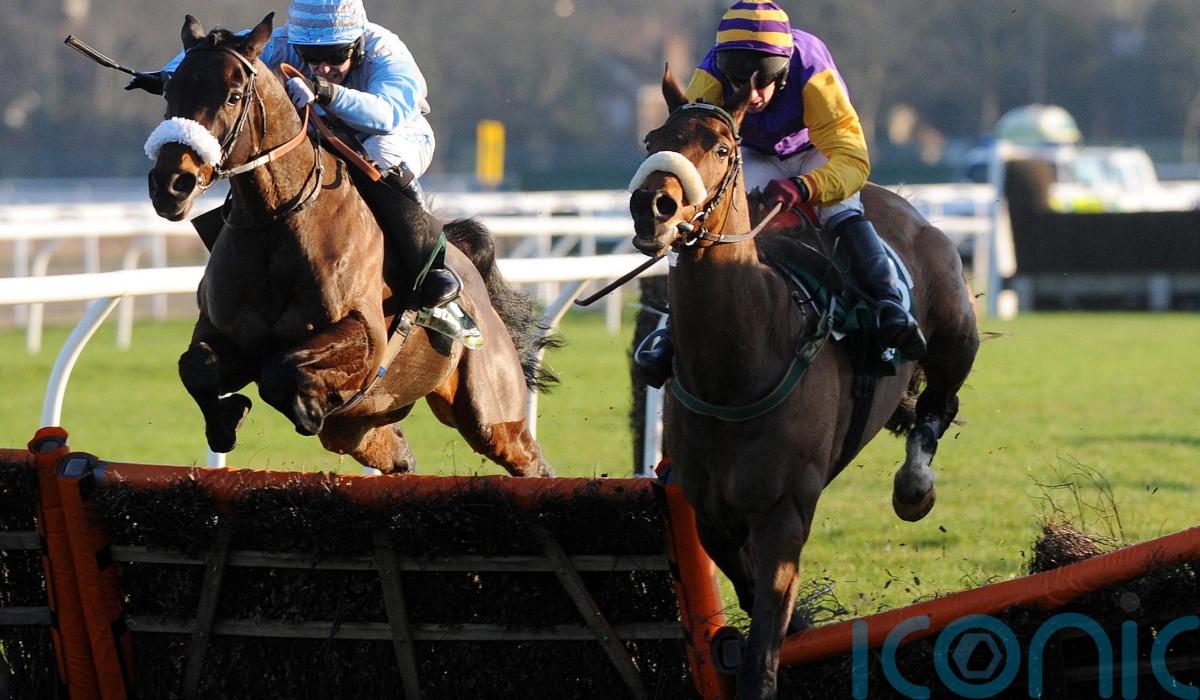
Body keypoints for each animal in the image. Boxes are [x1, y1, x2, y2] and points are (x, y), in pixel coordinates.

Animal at [145, 14, 554, 477]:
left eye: (233, 96)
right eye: (170, 90)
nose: (171, 185)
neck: (276, 224)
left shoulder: (366, 333)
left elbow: (280, 370)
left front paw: (304, 408)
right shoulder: (220, 331)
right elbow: (196, 368)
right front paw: (227, 419)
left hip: (490, 411)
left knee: (528, 460)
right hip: (361, 426)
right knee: (396, 453)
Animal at [627, 69, 980, 698]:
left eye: (722, 147)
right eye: (652, 140)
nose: (653, 205)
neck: (736, 369)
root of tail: (905, 207)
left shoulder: (785, 511)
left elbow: (765, 641)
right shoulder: (707, 507)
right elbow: (744, 584)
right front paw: (792, 625)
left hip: (955, 335)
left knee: (939, 403)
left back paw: (914, 484)